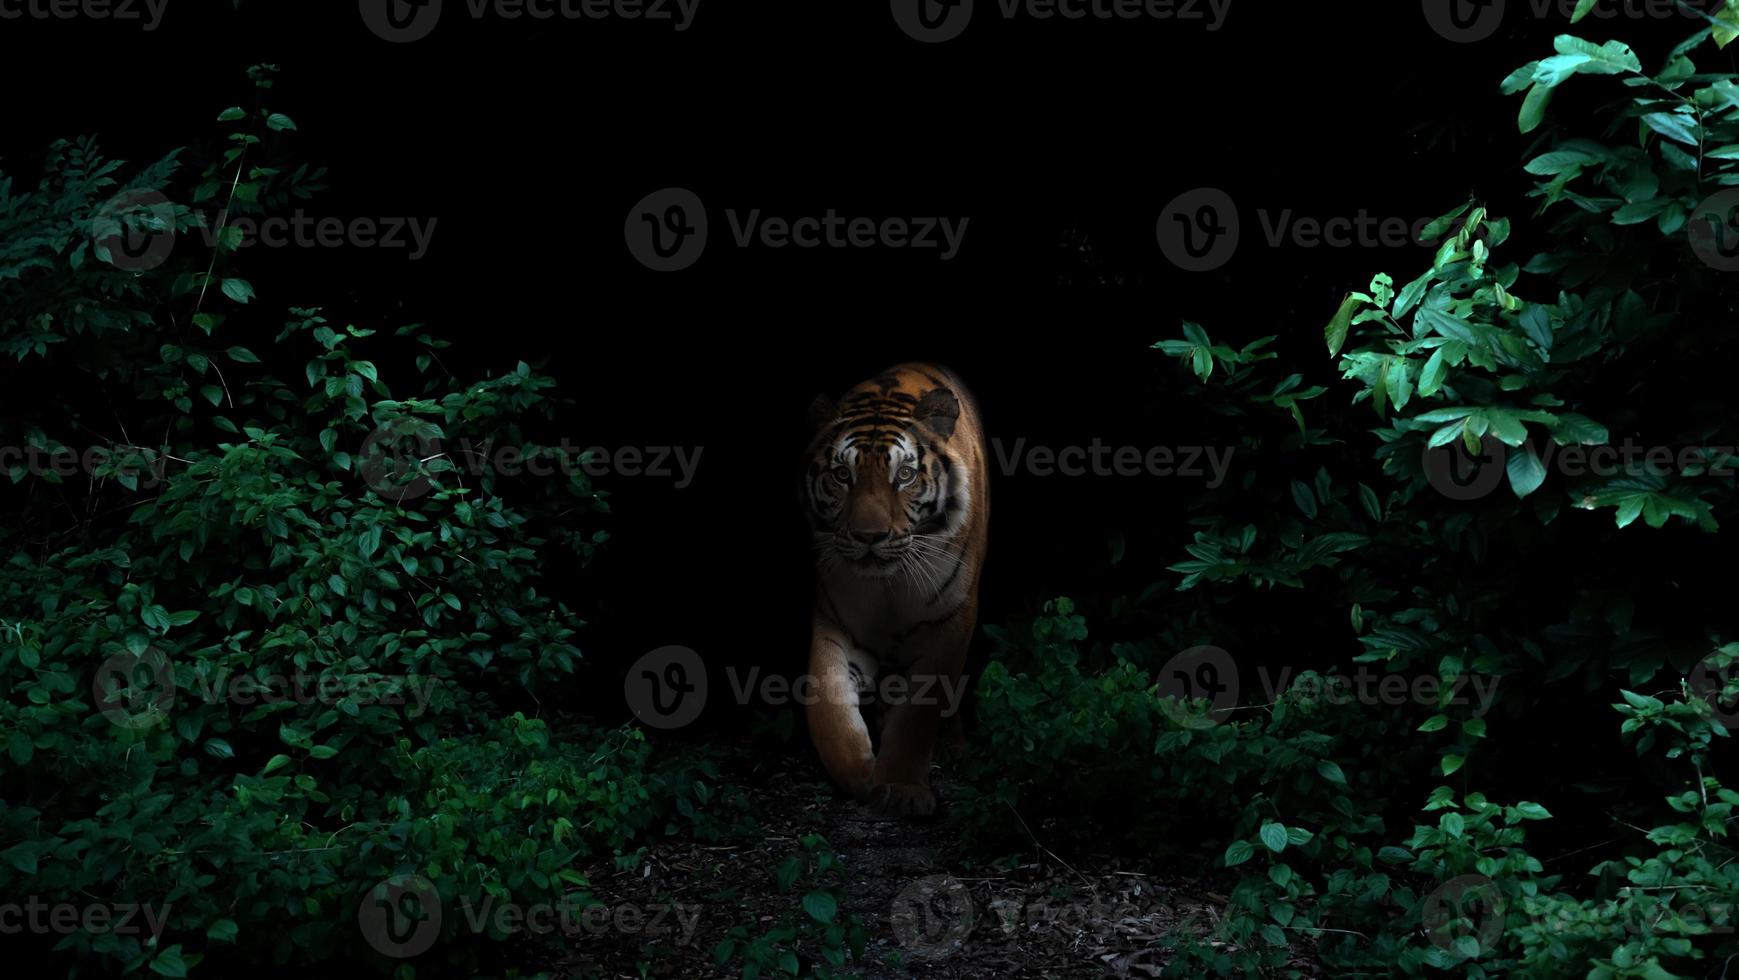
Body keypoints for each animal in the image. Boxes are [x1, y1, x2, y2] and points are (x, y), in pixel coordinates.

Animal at [803, 363, 994, 816]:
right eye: (842, 475)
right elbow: (828, 707)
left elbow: (918, 715)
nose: (869, 536)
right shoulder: (834, 622)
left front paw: (903, 788)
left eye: (904, 475)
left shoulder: (950, 623)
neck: (887, 587)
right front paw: (859, 773)